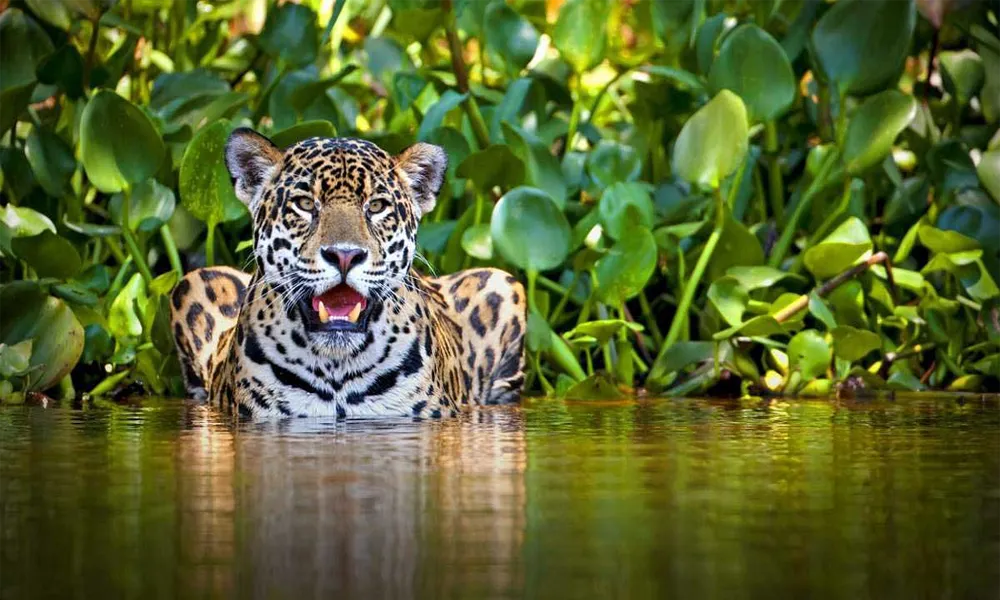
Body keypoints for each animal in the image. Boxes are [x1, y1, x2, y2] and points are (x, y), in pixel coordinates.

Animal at [169, 128, 526, 419]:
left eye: (377, 206)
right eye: (304, 204)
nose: (344, 255)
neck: (336, 367)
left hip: (503, 282)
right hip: (196, 280)